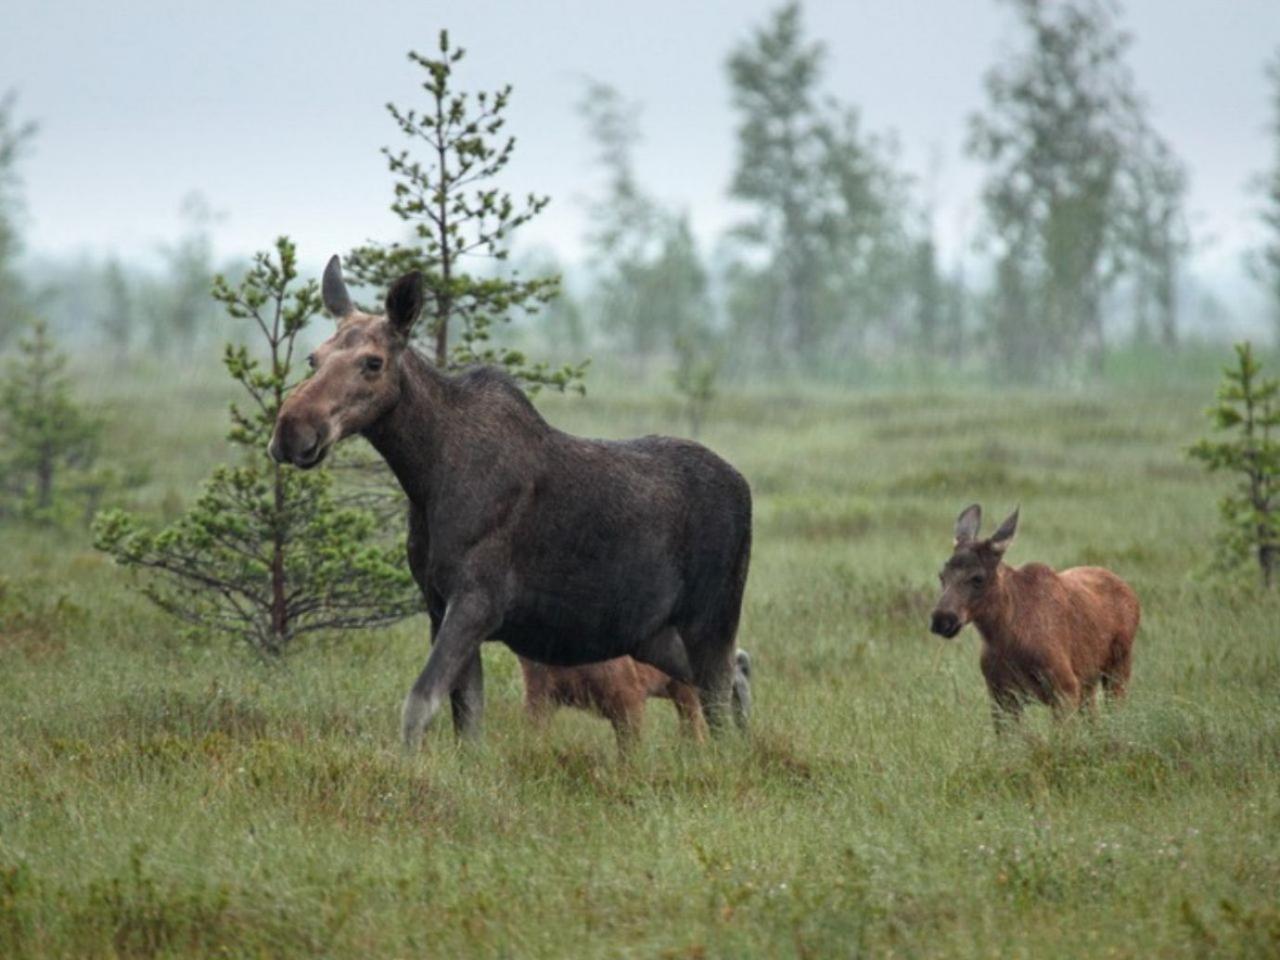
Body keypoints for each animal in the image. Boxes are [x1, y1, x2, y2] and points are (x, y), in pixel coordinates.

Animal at [270, 257, 747, 752]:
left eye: (373, 362)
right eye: (313, 358)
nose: (292, 429)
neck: (425, 475)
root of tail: (741, 483)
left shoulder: (477, 600)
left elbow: (419, 702)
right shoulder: (437, 604)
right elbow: (466, 715)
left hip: (711, 618)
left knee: (722, 687)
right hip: (654, 634)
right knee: (731, 678)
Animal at [931, 506, 1141, 732]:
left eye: (978, 578)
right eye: (941, 575)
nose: (941, 619)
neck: (1004, 637)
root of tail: (1132, 594)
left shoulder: (1065, 687)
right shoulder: (1000, 694)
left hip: (1118, 665)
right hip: (1089, 680)